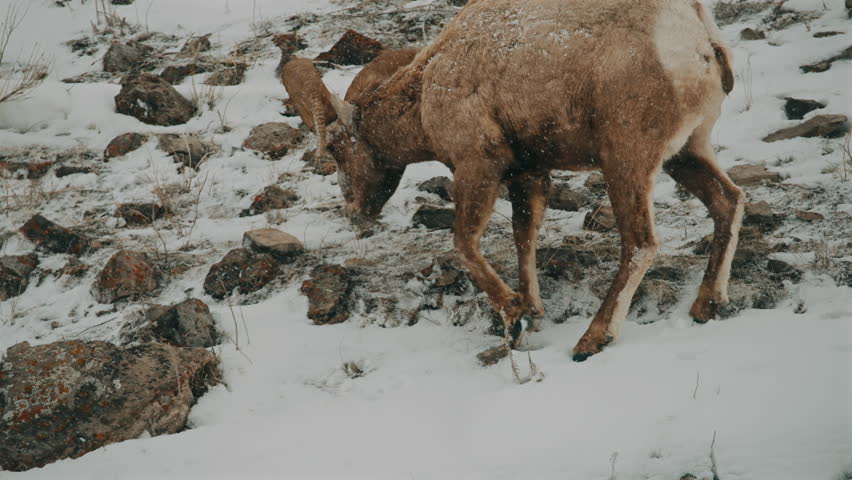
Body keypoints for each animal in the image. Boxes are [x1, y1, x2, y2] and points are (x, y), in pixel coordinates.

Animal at [282, 0, 743, 361]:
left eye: (335, 150)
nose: (354, 213)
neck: (428, 90)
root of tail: (697, 36)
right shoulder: (528, 173)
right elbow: (525, 236)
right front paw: (533, 309)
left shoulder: (478, 166)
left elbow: (465, 243)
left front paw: (514, 314)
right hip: (686, 153)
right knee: (729, 201)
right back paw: (706, 304)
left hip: (626, 159)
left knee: (640, 243)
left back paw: (591, 340)